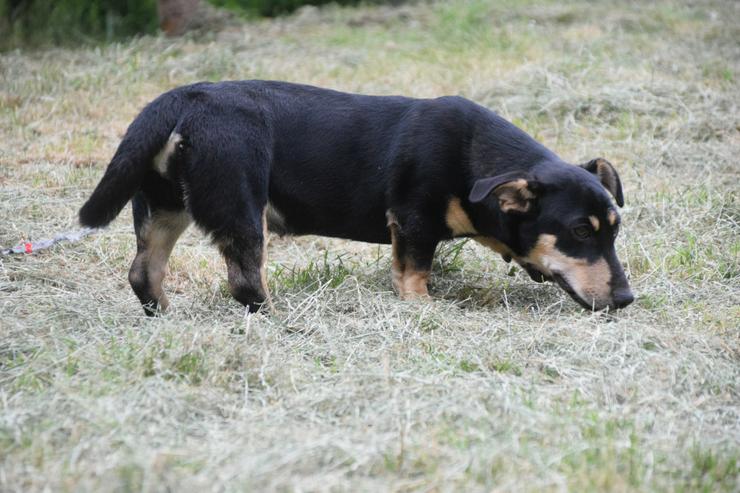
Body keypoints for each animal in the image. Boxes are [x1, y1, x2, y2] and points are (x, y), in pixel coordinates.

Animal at [79, 79, 636, 314]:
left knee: (143, 272)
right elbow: (414, 274)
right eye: (580, 231)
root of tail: (183, 97)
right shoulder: (414, 221)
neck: (474, 161)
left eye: (613, 231)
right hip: (242, 206)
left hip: (163, 206)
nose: (627, 299)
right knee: (245, 281)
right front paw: (423, 308)